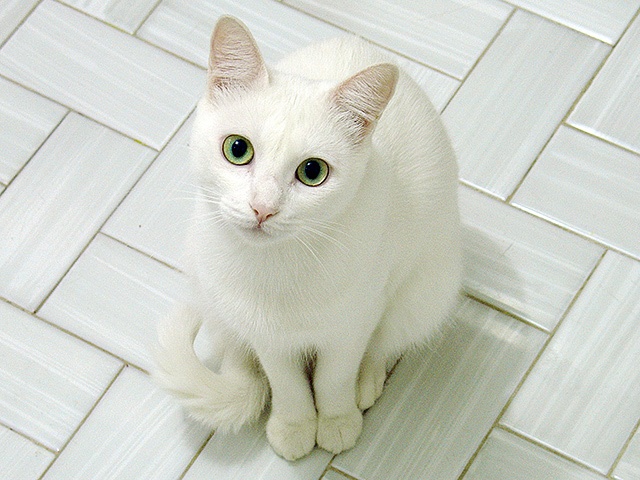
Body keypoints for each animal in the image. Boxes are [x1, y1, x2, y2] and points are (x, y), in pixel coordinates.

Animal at [157, 15, 462, 462]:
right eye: (237, 149)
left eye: (313, 172)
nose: (262, 208)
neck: (280, 268)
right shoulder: (265, 333)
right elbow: (287, 383)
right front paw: (295, 425)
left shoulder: (353, 322)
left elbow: (333, 377)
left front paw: (336, 420)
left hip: (425, 292)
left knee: (385, 341)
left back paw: (367, 380)